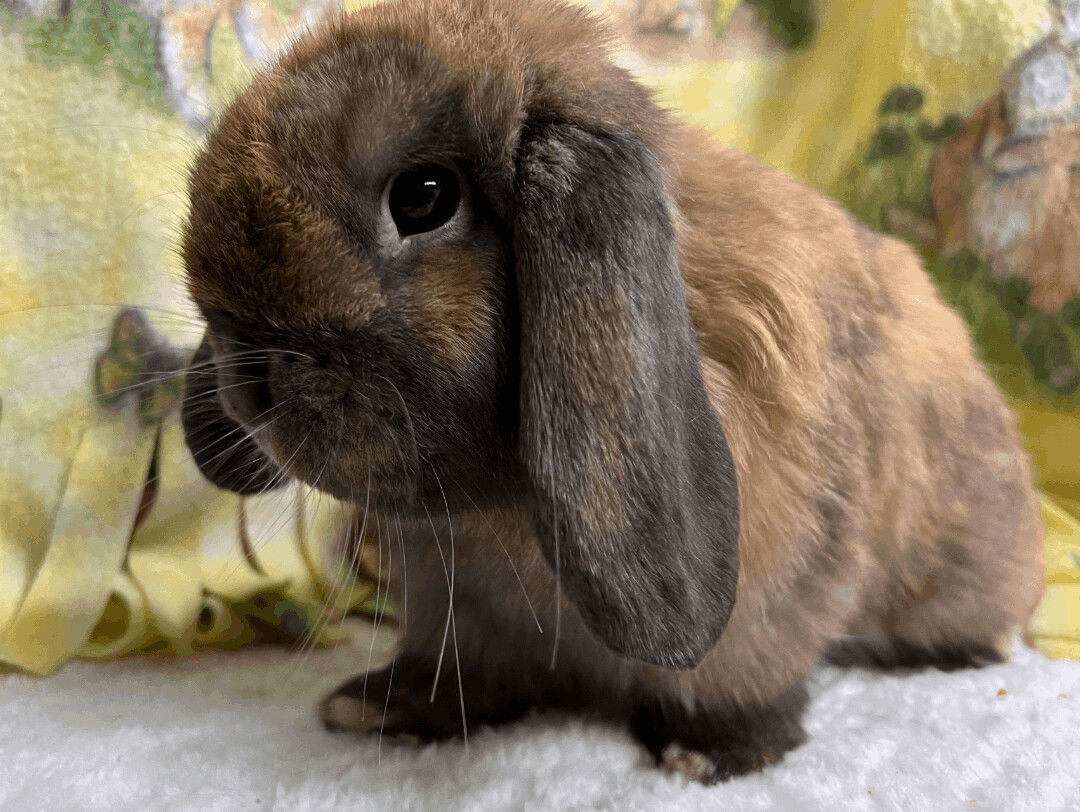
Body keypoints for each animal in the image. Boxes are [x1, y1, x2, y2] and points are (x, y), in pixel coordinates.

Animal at [179, 0, 1045, 786]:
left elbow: (736, 677)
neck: (498, 512)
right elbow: (458, 672)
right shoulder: (447, 600)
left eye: (423, 196)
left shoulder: (770, 592)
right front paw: (379, 707)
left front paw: (707, 754)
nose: (246, 377)